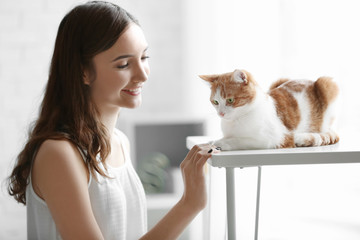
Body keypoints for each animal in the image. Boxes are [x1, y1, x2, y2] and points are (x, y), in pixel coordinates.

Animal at [200, 68, 340, 150]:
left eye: (230, 100)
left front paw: (221, 143)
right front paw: (213, 141)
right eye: (215, 102)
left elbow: (240, 140)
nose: (221, 113)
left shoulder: (274, 139)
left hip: (327, 84)